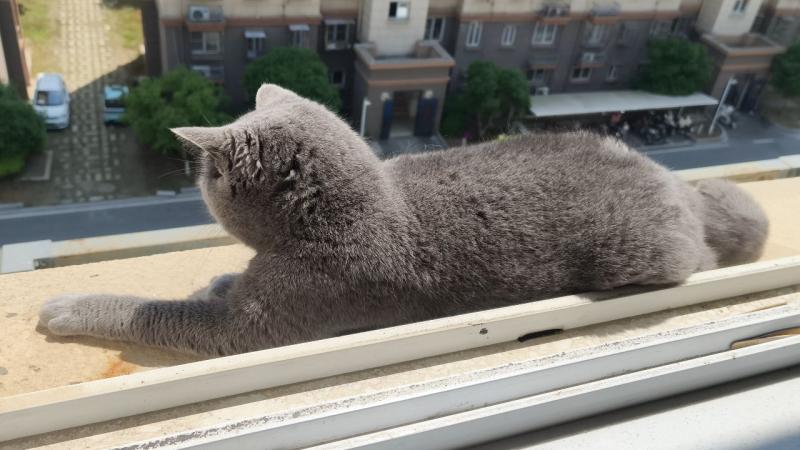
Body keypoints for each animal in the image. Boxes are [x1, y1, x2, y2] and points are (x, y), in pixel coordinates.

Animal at [39, 84, 769, 357]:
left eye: (207, 175)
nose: (192, 175)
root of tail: (673, 185)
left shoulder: (259, 323)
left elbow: (158, 313)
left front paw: (68, 308)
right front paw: (217, 279)